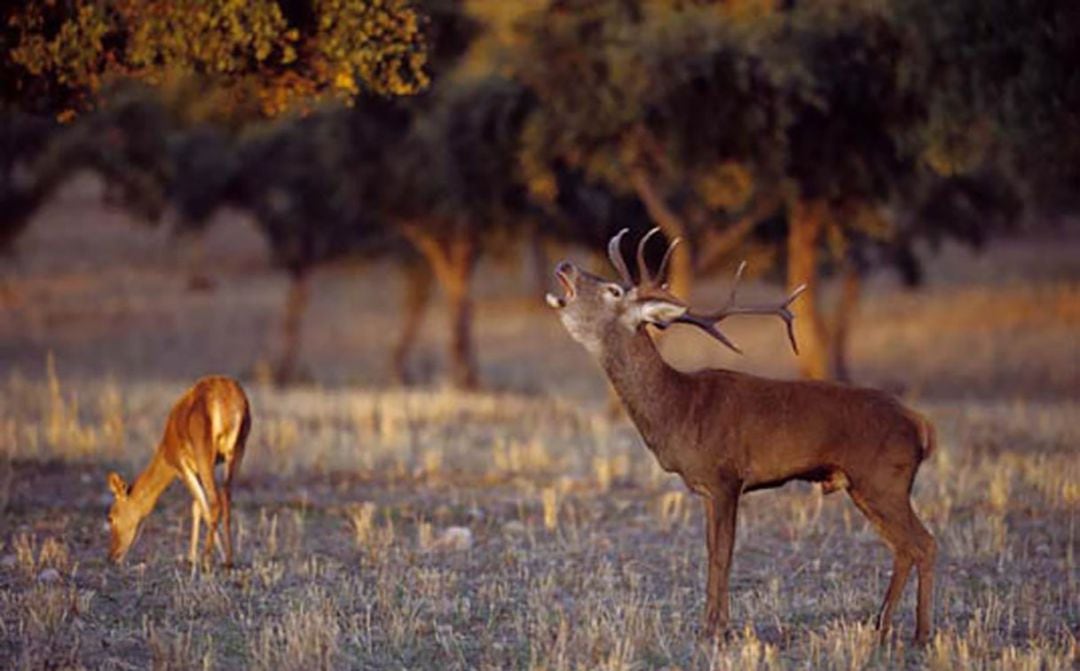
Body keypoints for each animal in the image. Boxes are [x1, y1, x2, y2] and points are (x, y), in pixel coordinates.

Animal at [106, 371, 251, 570]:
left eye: (111, 516)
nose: (112, 556)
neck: (166, 447)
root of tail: (231, 402)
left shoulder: (182, 467)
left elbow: (203, 507)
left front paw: (197, 558)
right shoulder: (199, 468)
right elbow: (196, 506)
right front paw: (192, 557)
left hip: (206, 453)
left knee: (215, 502)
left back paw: (207, 559)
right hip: (236, 452)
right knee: (226, 498)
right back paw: (229, 560)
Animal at [548, 229, 937, 643]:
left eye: (613, 291)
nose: (566, 265)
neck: (678, 410)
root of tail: (920, 425)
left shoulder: (726, 478)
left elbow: (723, 555)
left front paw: (716, 629)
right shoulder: (705, 488)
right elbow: (711, 552)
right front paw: (711, 625)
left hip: (884, 479)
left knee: (924, 543)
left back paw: (921, 633)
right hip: (865, 486)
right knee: (903, 547)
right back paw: (882, 625)